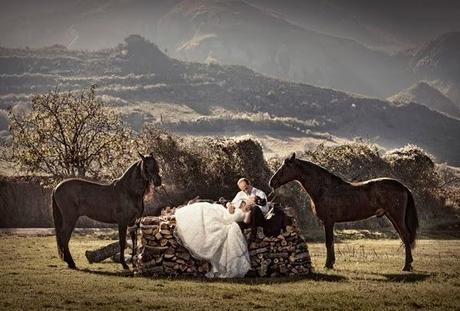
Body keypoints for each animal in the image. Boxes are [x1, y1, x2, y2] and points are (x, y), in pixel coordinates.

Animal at [268, 153, 418, 270]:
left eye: (285, 167)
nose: (272, 182)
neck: (324, 188)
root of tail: (403, 186)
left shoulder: (328, 222)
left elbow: (328, 242)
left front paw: (328, 265)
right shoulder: (329, 222)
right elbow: (331, 242)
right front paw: (331, 263)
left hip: (396, 217)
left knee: (405, 236)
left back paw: (406, 266)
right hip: (392, 217)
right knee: (404, 237)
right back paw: (408, 264)